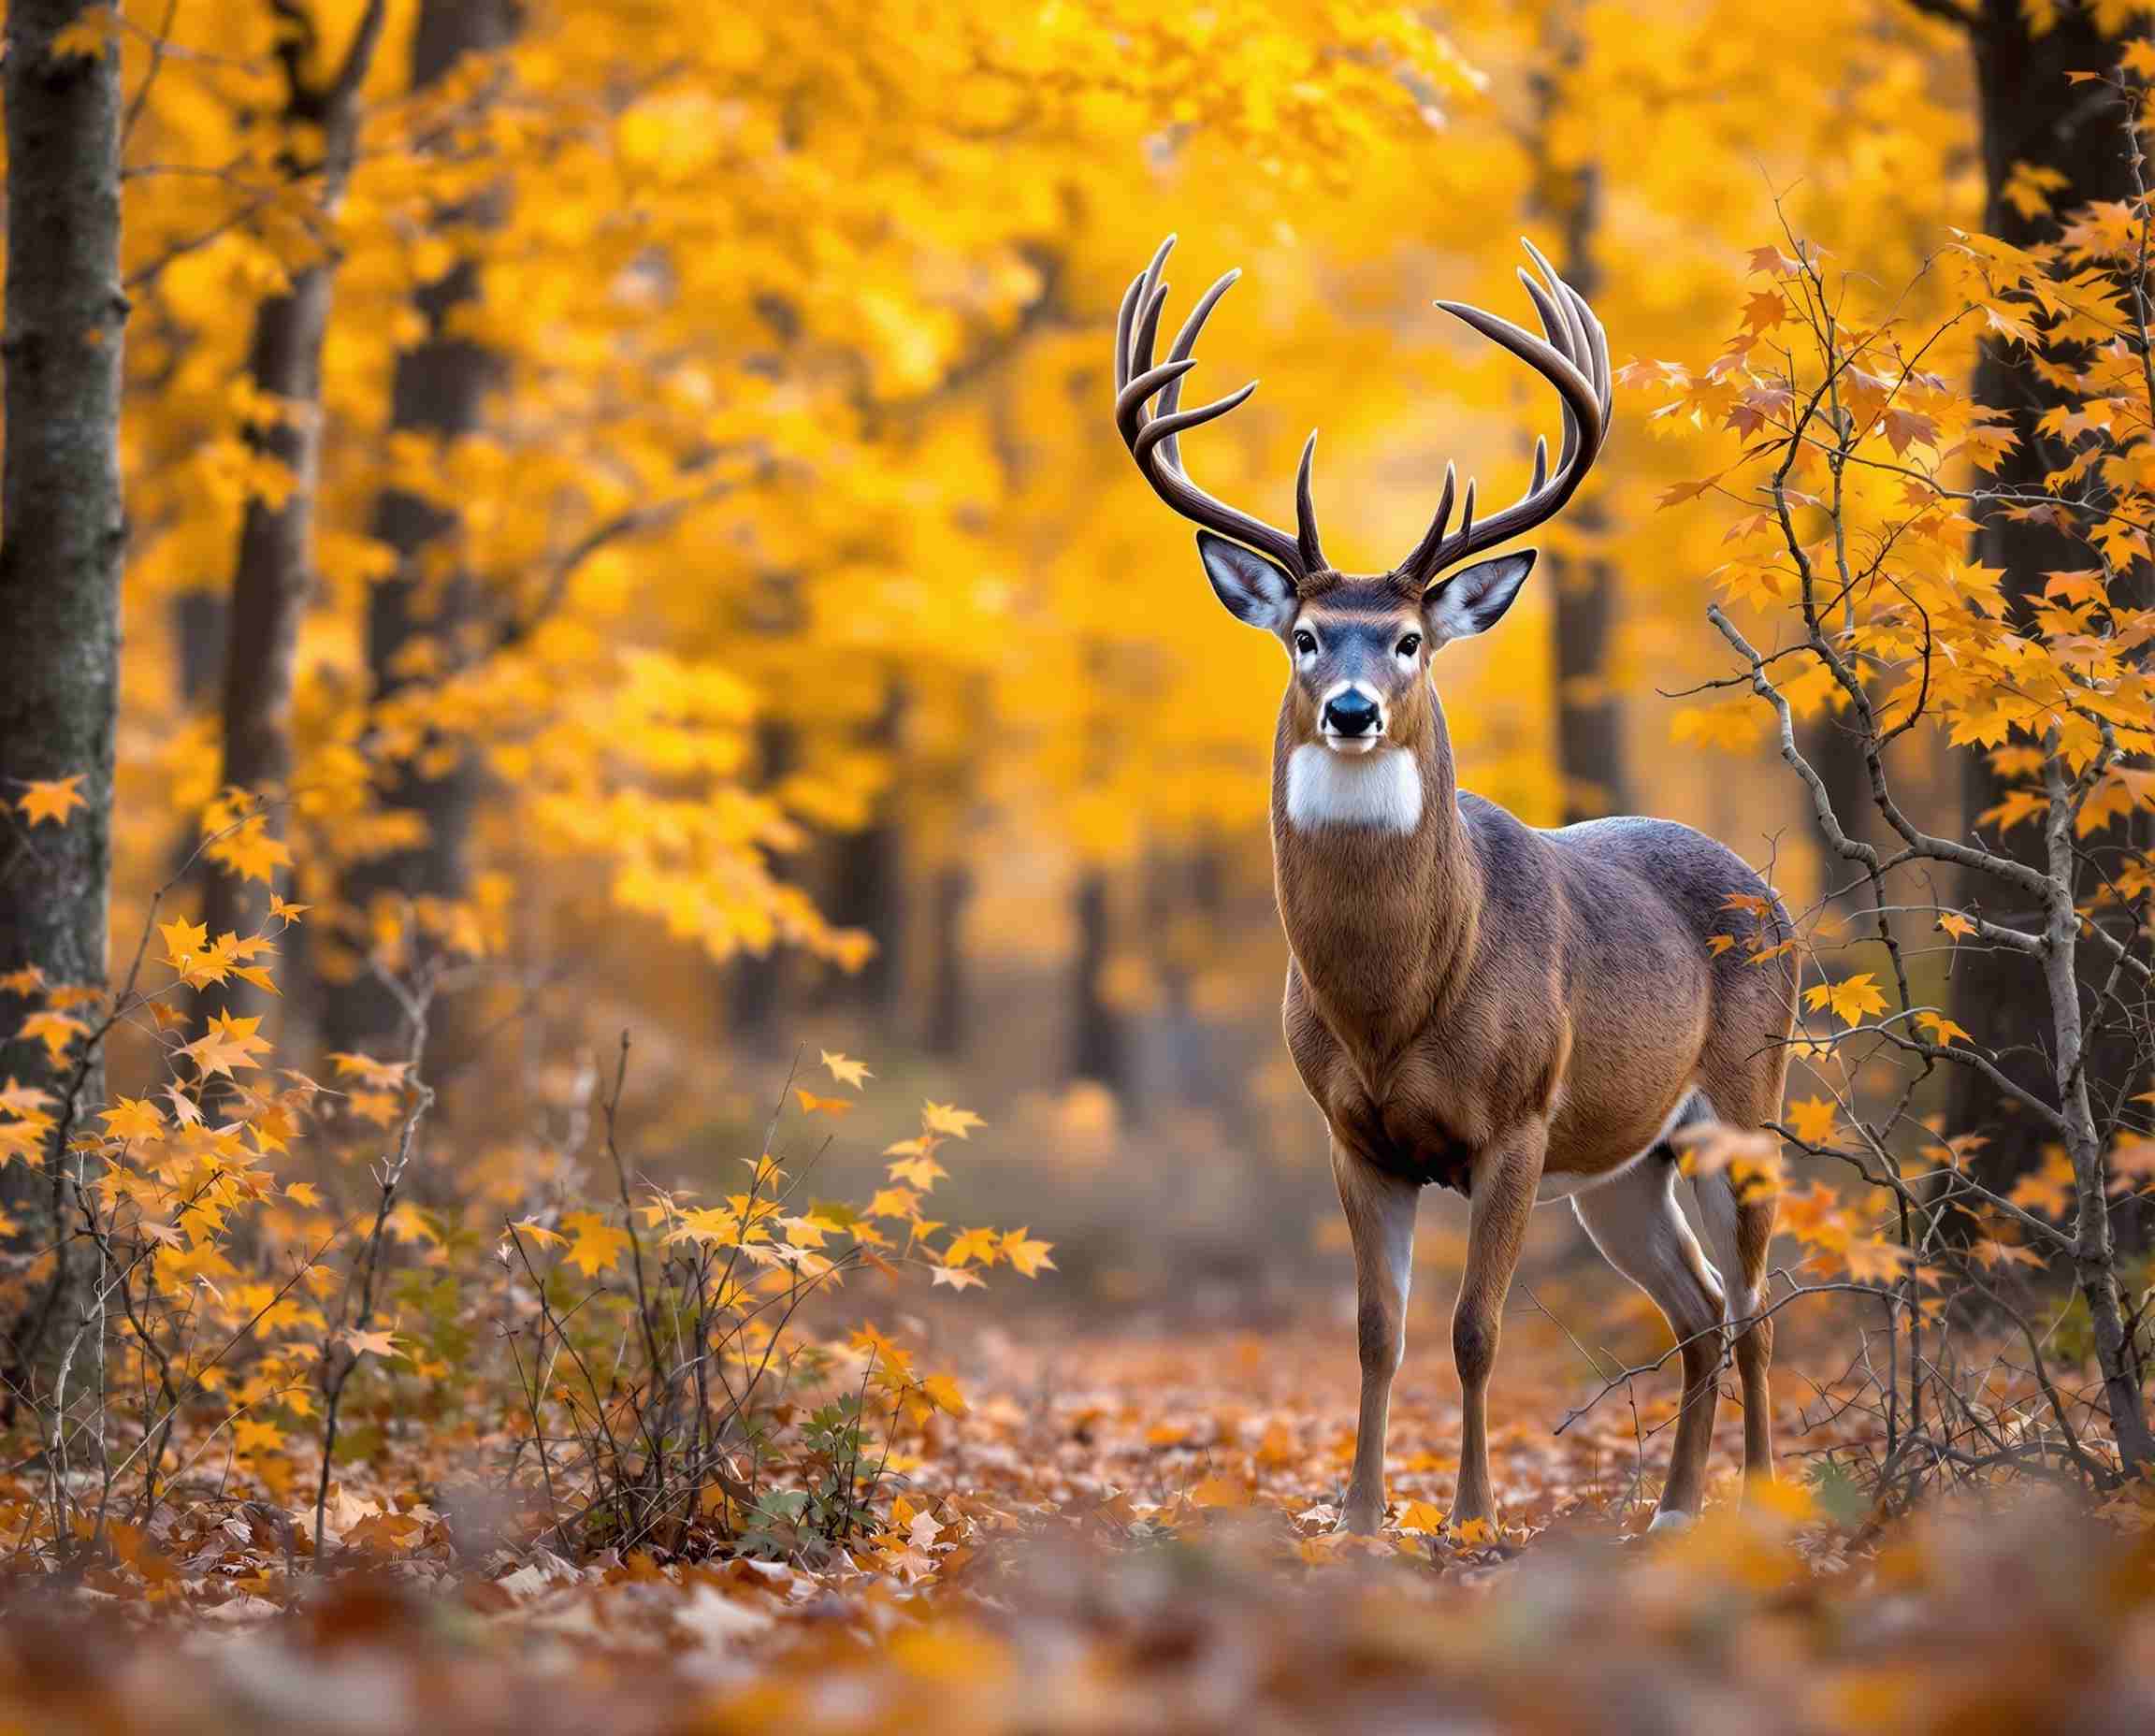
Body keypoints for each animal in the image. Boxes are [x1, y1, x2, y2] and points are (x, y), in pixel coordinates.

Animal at [1111, 236, 1797, 1537]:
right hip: (1629, 1163)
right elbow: (1377, 1332)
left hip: (1747, 1099)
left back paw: (1769, 1501)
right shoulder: (1354, 1134)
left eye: (1411, 638)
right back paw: (1676, 1510)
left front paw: (1473, 1516)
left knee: (1751, 1303)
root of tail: (1767, 896)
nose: (1352, 709)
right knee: (1694, 1311)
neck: (1398, 1000)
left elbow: (1476, 1330)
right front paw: (1361, 1515)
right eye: (1306, 636)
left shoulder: (1517, 1120)